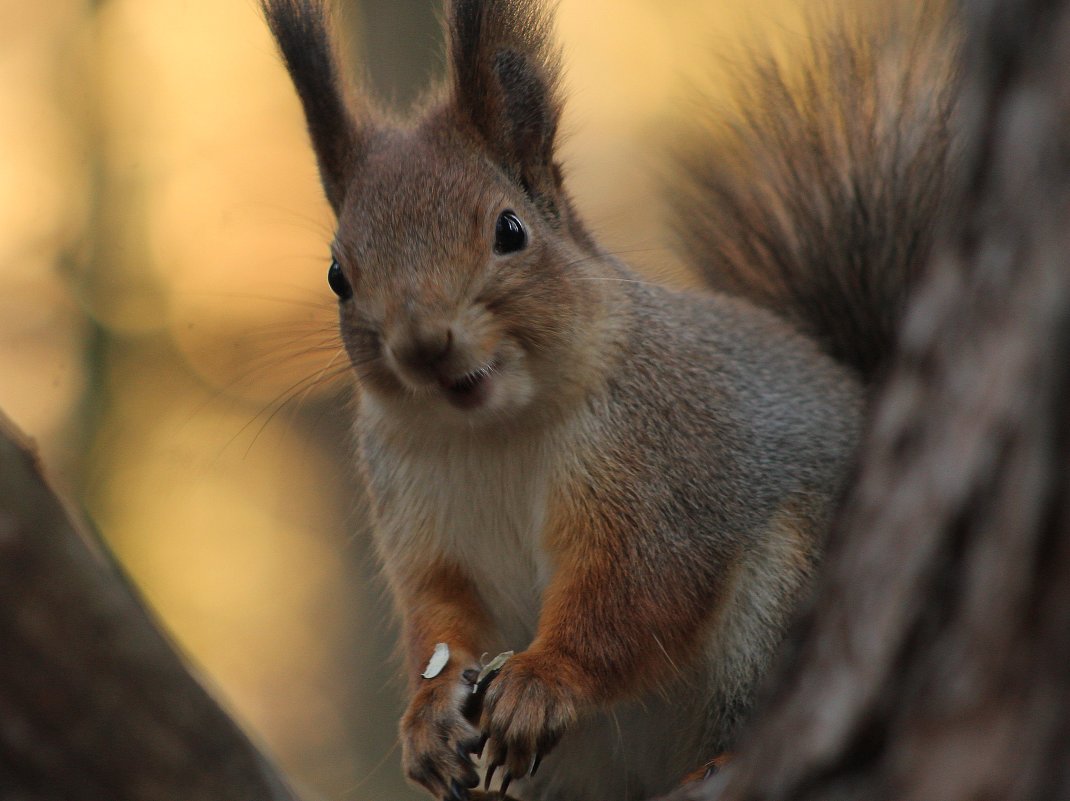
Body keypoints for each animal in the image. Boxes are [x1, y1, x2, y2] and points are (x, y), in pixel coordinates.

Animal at [261, 1, 963, 799]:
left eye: (510, 230)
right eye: (337, 276)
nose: (422, 343)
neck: (493, 432)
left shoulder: (663, 473)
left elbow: (633, 593)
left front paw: (542, 681)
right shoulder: (417, 519)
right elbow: (438, 617)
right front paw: (427, 715)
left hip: (787, 590)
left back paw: (718, 759)